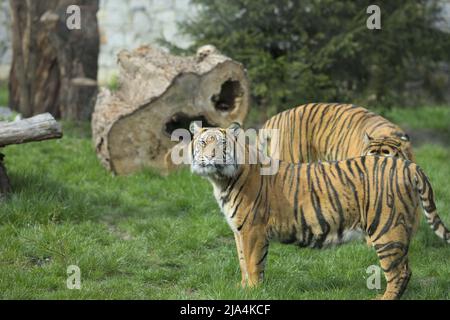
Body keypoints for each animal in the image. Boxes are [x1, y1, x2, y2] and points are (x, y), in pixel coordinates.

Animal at [189, 122, 450, 300]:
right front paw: (243, 288)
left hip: (386, 229)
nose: (209, 157)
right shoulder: (239, 230)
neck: (220, 180)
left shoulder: (252, 230)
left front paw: (252, 291)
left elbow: (253, 263)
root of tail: (408, 164)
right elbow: (243, 261)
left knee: (399, 272)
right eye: (203, 143)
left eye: (221, 144)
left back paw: (383, 298)